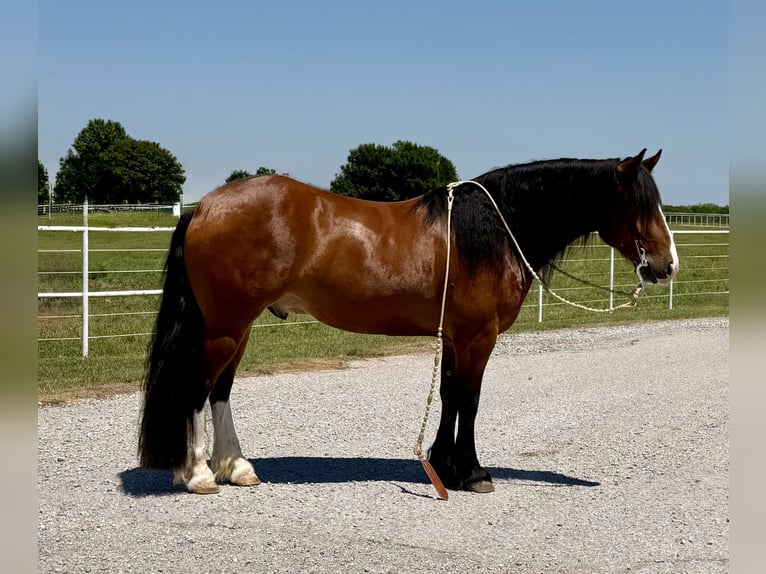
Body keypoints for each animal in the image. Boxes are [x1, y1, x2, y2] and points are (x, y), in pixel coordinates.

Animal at [139, 148, 678, 495]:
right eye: (638, 203)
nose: (666, 265)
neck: (493, 230)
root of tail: (205, 206)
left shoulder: (456, 337)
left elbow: (449, 396)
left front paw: (443, 465)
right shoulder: (478, 337)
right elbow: (470, 400)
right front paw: (474, 473)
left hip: (237, 328)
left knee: (219, 391)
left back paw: (236, 468)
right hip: (225, 326)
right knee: (195, 390)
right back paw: (198, 475)